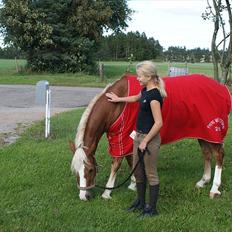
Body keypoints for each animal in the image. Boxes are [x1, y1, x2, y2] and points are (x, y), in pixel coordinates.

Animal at [70, 73, 232, 200]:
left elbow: (116, 163)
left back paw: (214, 189)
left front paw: (107, 193)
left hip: (213, 131)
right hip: (202, 133)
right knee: (206, 153)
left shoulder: (123, 138)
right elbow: (131, 160)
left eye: (90, 170)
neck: (117, 105)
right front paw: (133, 184)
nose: (84, 196)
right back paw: (203, 181)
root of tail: (221, 88)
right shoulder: (127, 140)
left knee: (218, 155)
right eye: (75, 171)